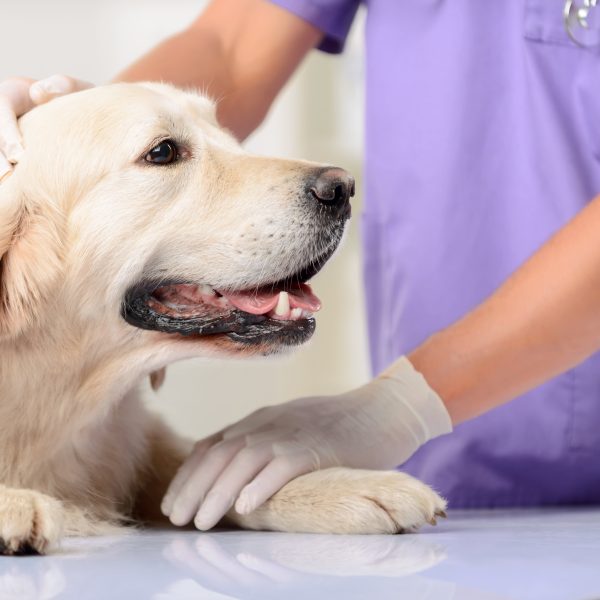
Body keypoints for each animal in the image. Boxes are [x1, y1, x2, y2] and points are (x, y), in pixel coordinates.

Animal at [0, 82, 446, 556]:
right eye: (162, 151)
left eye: (222, 130)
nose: (342, 188)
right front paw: (13, 503)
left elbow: (205, 467)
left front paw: (345, 487)